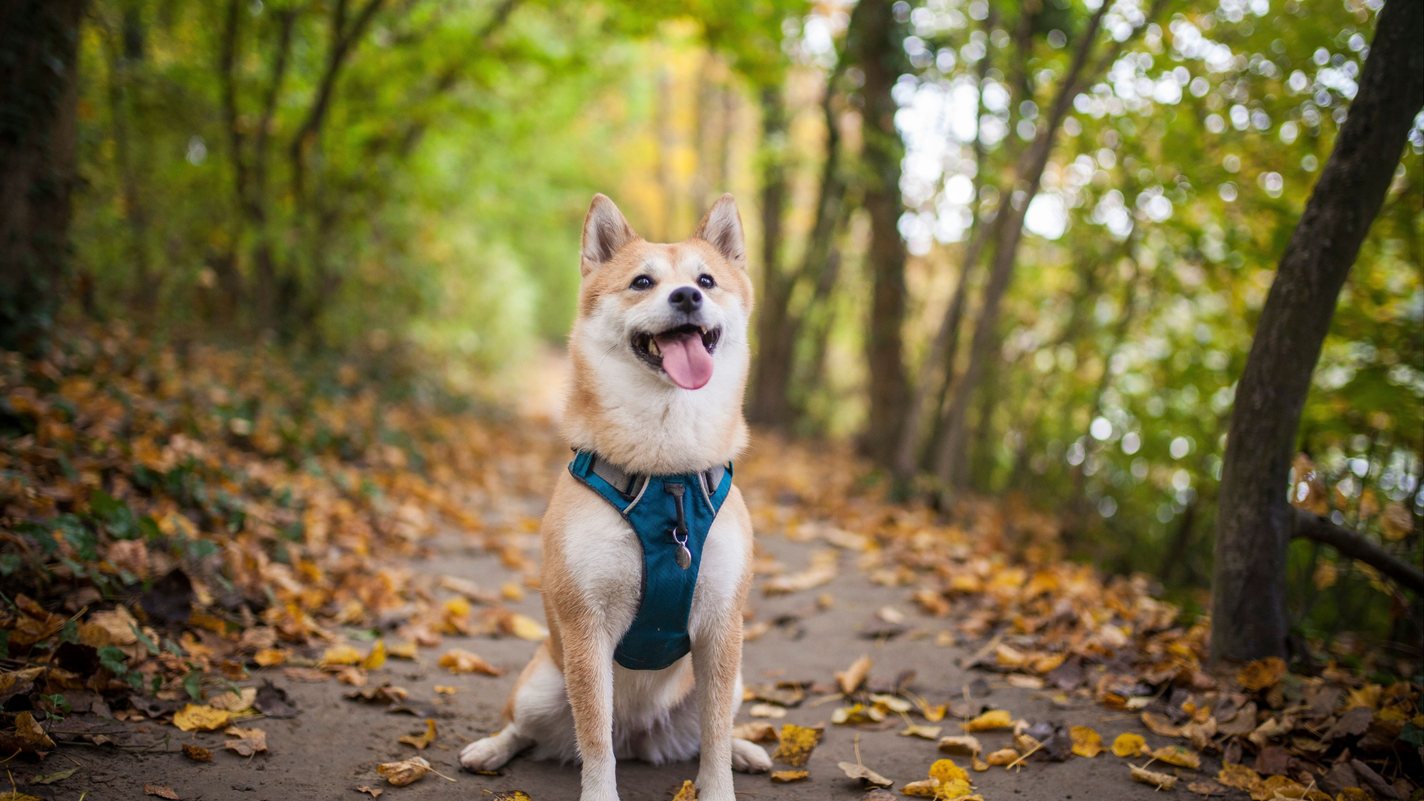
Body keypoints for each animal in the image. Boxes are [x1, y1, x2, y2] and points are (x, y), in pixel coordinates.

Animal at [458, 193, 774, 798]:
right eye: (642, 282)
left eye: (706, 279)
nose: (687, 296)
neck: (667, 475)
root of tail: (639, 737)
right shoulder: (587, 627)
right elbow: (594, 737)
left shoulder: (723, 628)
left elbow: (716, 737)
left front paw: (721, 783)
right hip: (541, 687)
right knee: (528, 729)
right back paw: (491, 748)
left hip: (733, 681)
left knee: (711, 731)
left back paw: (748, 749)